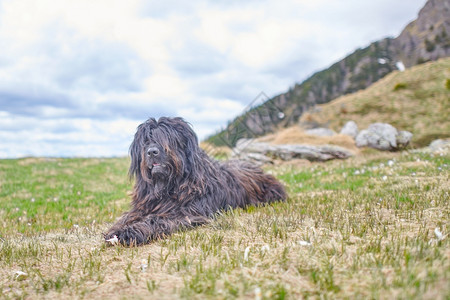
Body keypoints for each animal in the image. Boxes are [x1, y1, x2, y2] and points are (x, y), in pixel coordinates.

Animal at [104, 116, 286, 245]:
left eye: (167, 138)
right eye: (146, 140)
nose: (152, 151)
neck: (168, 186)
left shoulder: (189, 212)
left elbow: (158, 219)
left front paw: (133, 231)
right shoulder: (143, 205)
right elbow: (128, 216)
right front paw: (116, 228)